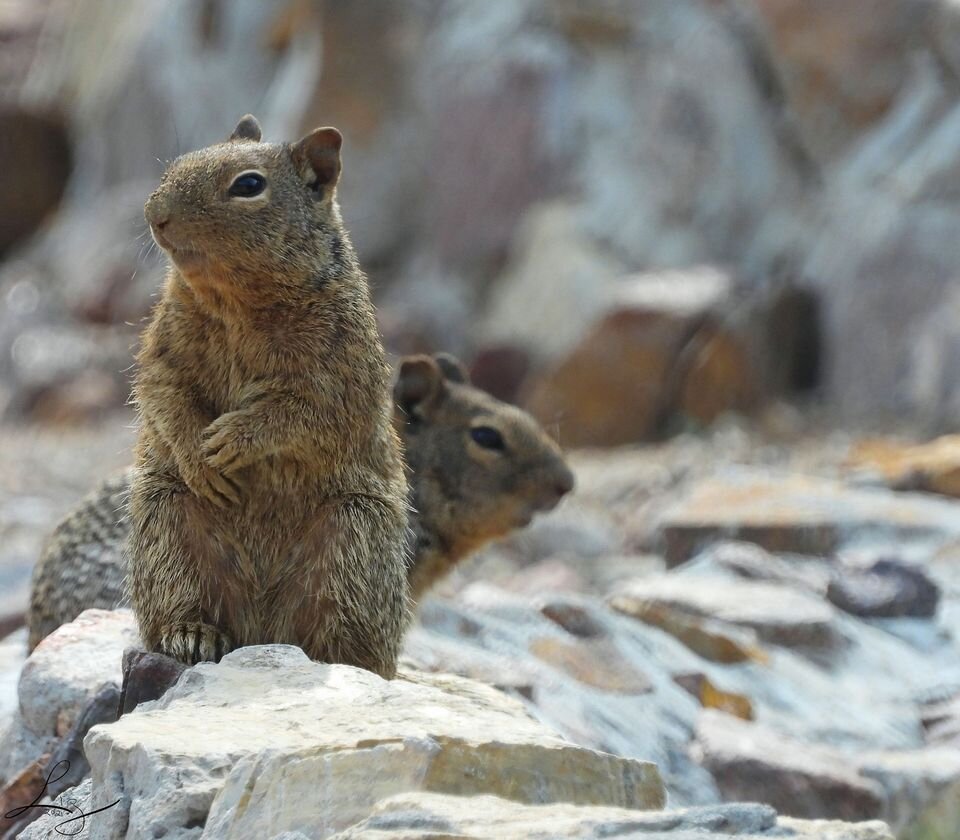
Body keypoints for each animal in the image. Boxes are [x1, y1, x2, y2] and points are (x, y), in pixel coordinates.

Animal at [126, 115, 410, 676]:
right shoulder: (164, 351)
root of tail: (260, 627)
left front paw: (234, 438)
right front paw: (200, 455)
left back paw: (341, 662)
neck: (236, 301)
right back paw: (192, 633)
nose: (155, 215)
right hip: (164, 521)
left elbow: (300, 415)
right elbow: (164, 394)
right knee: (179, 601)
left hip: (354, 537)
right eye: (177, 163)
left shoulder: (340, 379)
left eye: (249, 185)